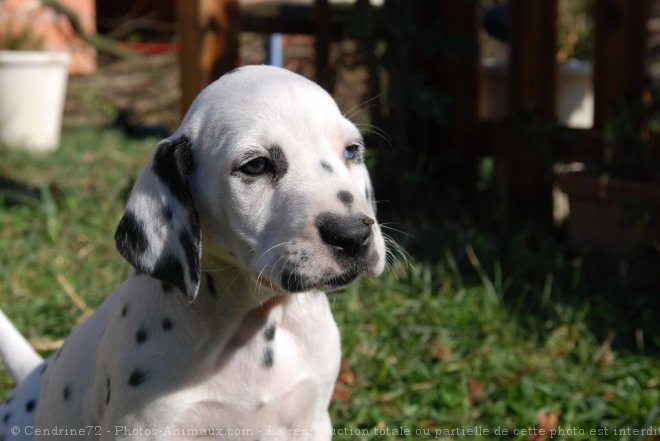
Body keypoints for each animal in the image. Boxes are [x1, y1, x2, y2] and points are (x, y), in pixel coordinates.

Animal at [0, 63, 386, 438]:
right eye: (256, 165)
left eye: (351, 151)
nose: (353, 235)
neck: (251, 326)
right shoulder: (143, 428)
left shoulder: (311, 421)